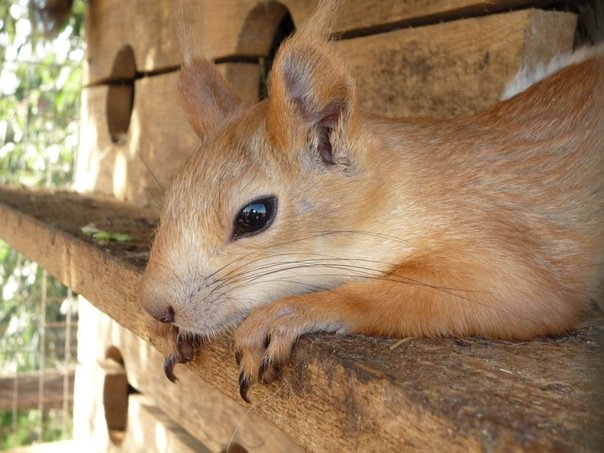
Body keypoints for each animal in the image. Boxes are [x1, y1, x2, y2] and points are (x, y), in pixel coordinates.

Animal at [138, 2, 604, 400]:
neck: (402, 189)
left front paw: (289, 312)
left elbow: (519, 294)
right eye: (172, 192)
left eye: (254, 216)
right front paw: (172, 332)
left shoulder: (486, 231)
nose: (157, 308)